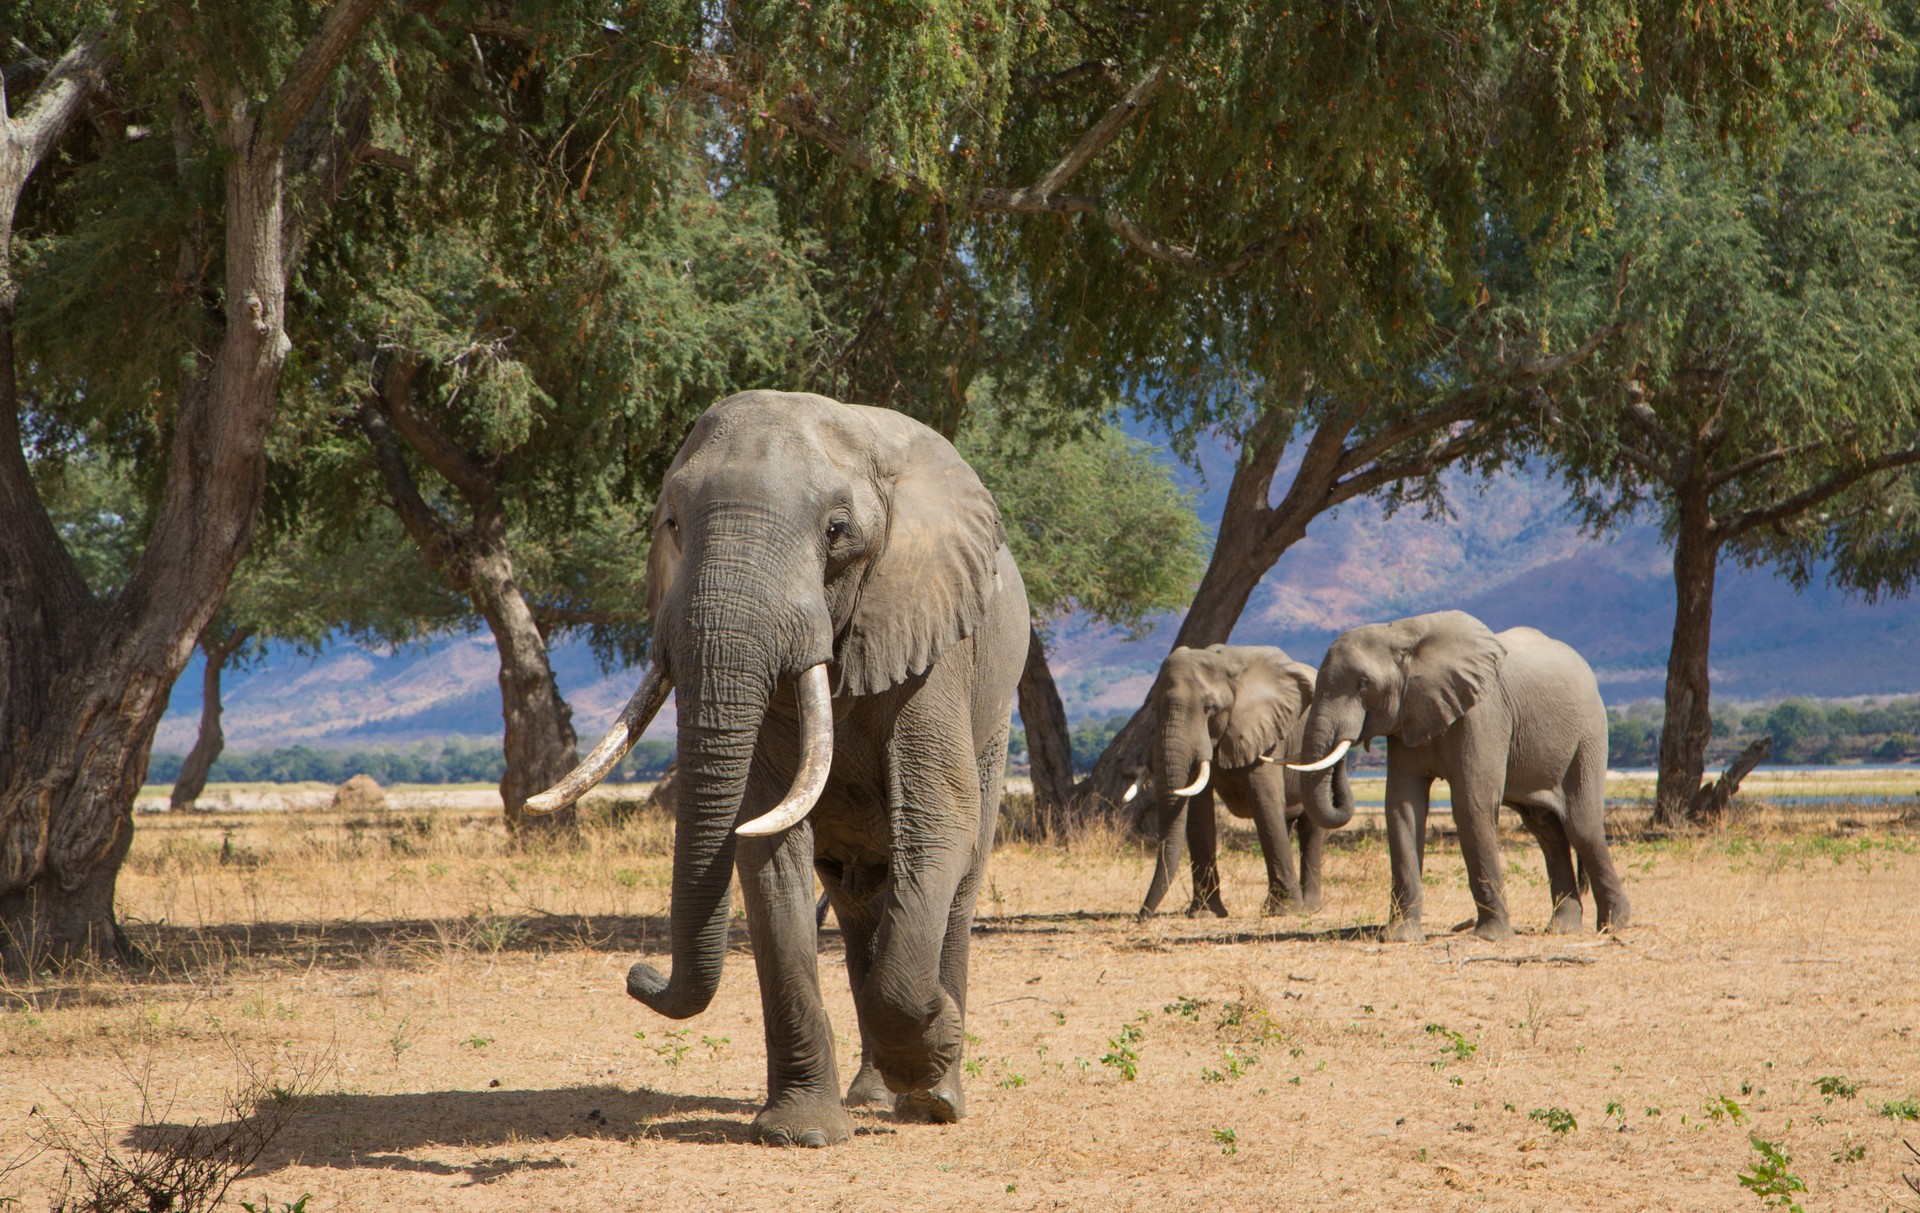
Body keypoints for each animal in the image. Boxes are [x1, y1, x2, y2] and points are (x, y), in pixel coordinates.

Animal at [526, 390, 1029, 1147]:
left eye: (837, 531)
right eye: (672, 524)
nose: (637, 973)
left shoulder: (933, 640)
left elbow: (939, 822)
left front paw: (935, 1051)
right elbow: (767, 844)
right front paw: (801, 1131)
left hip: (995, 706)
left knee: (957, 878)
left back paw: (934, 1097)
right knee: (857, 895)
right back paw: (874, 1093)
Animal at [1135, 644, 1336, 919]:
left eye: (1209, 707)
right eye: (1154, 708)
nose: (1142, 916)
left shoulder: (1265, 730)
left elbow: (1265, 801)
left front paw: (1286, 911)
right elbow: (1198, 811)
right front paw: (1205, 914)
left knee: (1310, 825)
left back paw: (1310, 908)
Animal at [1289, 610, 1629, 943]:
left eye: (1363, 683)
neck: (1402, 634)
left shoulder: (1483, 714)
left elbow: (1471, 804)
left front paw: (1490, 938)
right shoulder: (1408, 717)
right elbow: (1402, 807)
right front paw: (1400, 938)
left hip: (1588, 737)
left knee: (1581, 827)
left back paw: (1614, 926)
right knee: (1547, 831)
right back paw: (1563, 929)